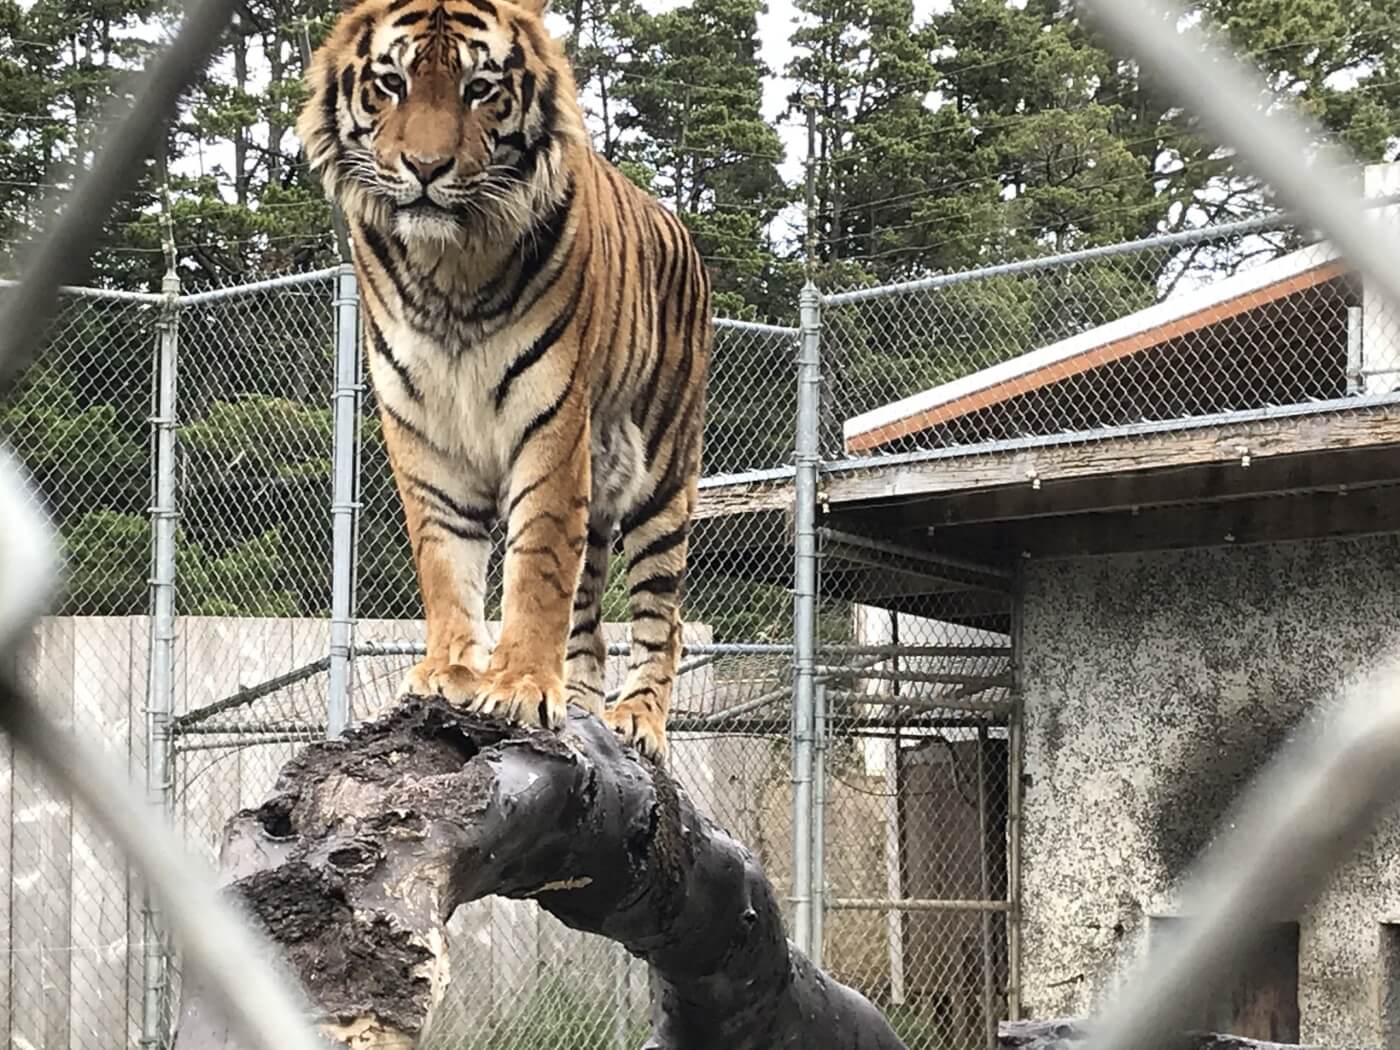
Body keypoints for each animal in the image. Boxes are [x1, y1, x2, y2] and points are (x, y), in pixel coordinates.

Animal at [295, 0, 711, 761]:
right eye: (392, 83)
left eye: (480, 89)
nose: (425, 168)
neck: (449, 267)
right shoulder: (423, 431)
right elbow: (444, 559)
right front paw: (450, 672)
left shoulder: (549, 425)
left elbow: (537, 566)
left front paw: (517, 686)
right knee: (590, 626)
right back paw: (581, 705)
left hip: (665, 479)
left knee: (660, 617)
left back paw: (637, 720)